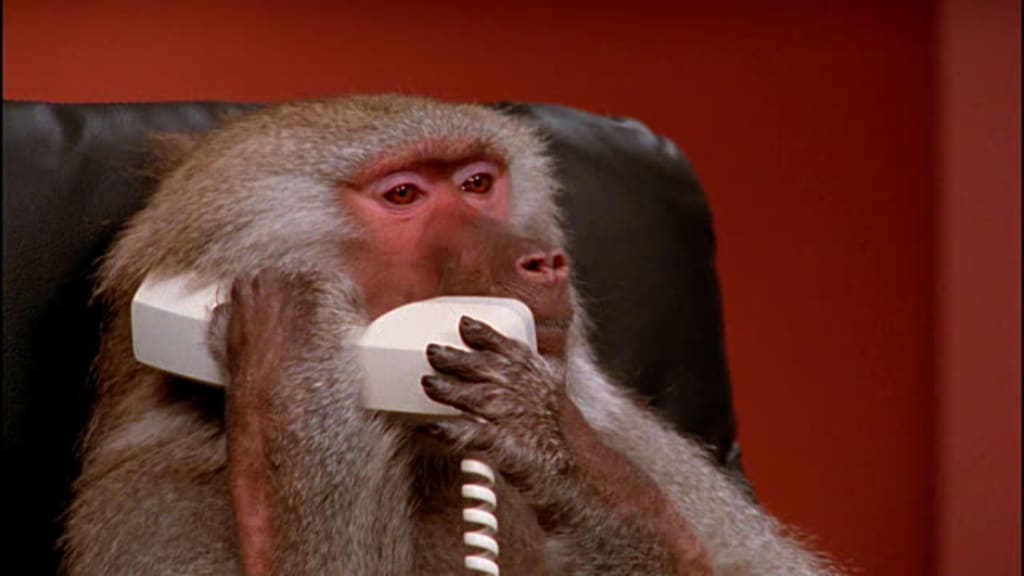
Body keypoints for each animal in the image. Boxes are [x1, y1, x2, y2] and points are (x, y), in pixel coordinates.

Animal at [61, 95, 839, 575]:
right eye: (404, 195)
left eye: (477, 183)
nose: (544, 260)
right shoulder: (158, 503)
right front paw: (292, 364)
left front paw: (555, 442)